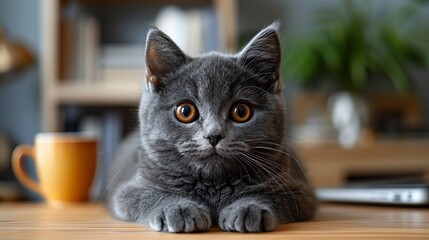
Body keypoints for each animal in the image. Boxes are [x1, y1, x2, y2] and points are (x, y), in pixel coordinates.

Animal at [105, 22, 316, 232]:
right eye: (185, 111)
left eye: (241, 111)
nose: (214, 134)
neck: (212, 186)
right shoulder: (129, 189)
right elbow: (149, 194)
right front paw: (179, 209)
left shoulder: (299, 190)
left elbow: (269, 193)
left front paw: (248, 208)